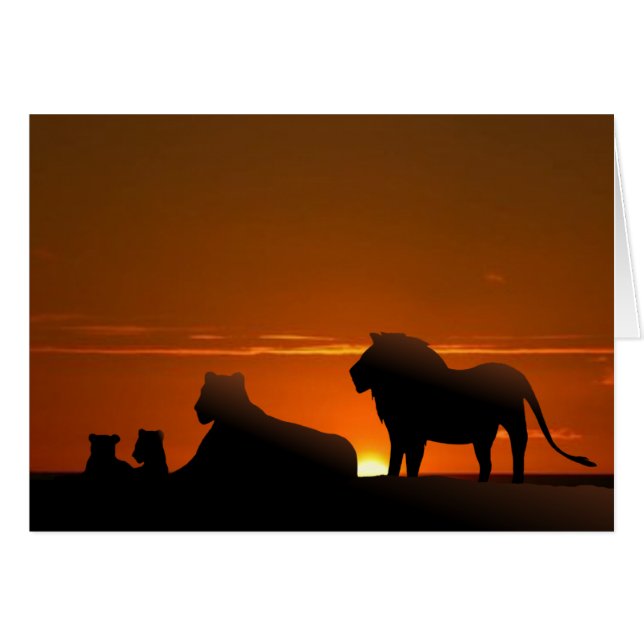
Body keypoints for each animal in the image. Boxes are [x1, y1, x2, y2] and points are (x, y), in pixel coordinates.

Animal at [350, 332, 596, 483]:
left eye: (371, 355)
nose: (352, 373)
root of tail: (517, 375)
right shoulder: (398, 432)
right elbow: (395, 460)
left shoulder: (415, 434)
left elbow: (412, 462)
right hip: (484, 435)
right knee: (487, 463)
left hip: (512, 420)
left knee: (518, 446)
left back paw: (516, 481)